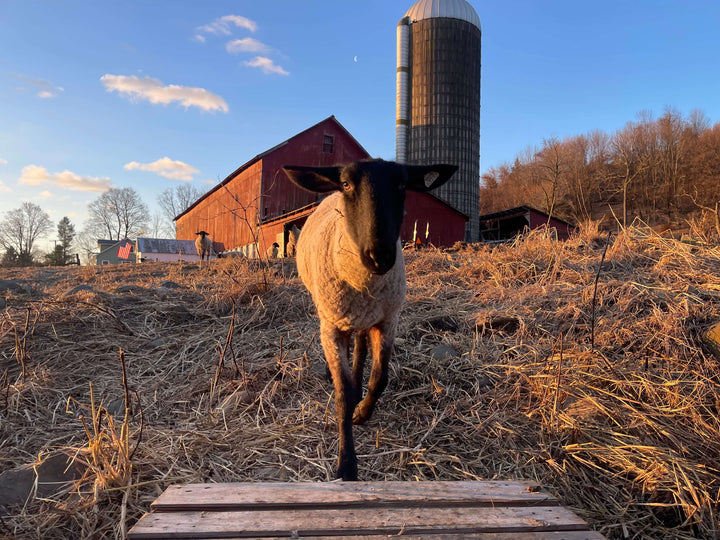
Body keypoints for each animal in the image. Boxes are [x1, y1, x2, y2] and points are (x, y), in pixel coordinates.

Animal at [282, 158, 456, 478]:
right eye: (346, 184)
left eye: (402, 184)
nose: (380, 256)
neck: (364, 282)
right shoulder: (332, 327)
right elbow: (343, 395)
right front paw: (346, 465)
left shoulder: (388, 320)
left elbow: (380, 378)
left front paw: (363, 412)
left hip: (367, 317)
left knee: (361, 347)